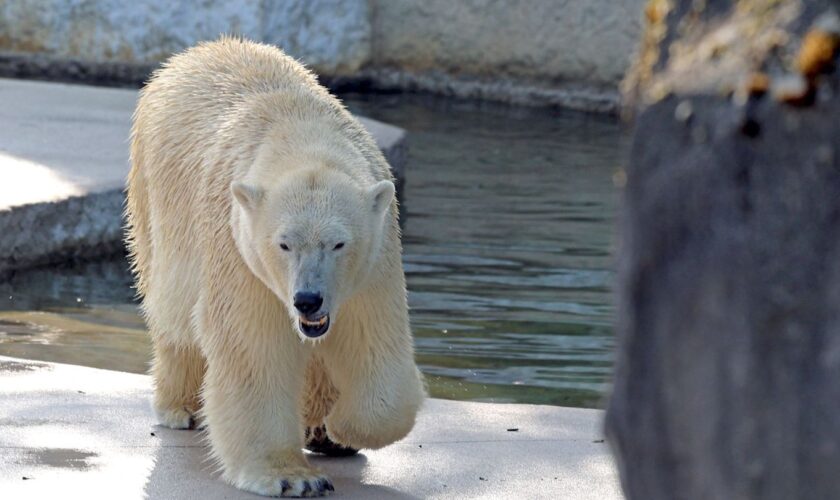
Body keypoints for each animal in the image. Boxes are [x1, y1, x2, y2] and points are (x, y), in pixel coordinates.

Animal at [123, 37, 426, 498]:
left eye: (339, 243)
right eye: (283, 244)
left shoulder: (376, 258)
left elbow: (374, 340)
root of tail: (197, 51)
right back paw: (181, 406)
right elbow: (253, 346)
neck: (301, 129)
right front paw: (292, 476)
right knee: (174, 312)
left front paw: (339, 427)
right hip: (155, 194)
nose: (307, 300)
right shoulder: (239, 248)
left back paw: (320, 428)